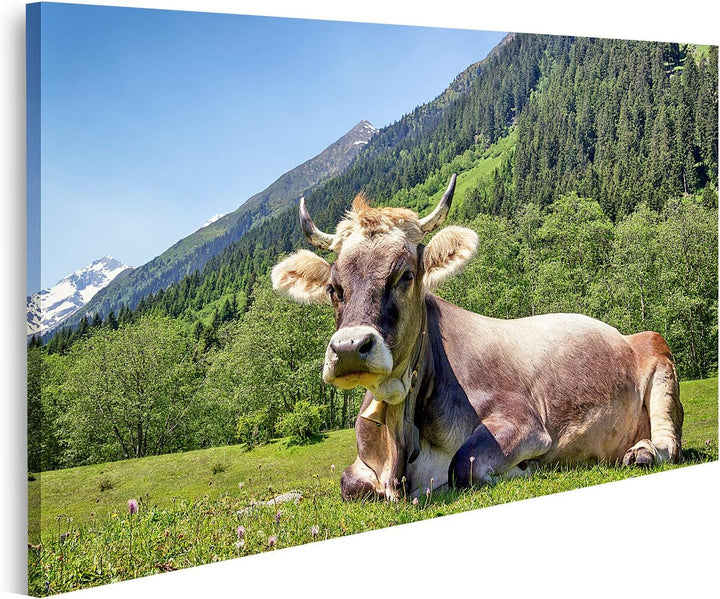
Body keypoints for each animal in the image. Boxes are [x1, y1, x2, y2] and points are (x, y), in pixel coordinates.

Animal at [271, 174, 684, 500]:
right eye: (333, 288)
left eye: (405, 275)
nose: (350, 348)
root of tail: (623, 334)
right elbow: (349, 483)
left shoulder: (523, 422)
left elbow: (462, 466)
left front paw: (525, 470)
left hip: (658, 351)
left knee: (669, 441)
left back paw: (644, 452)